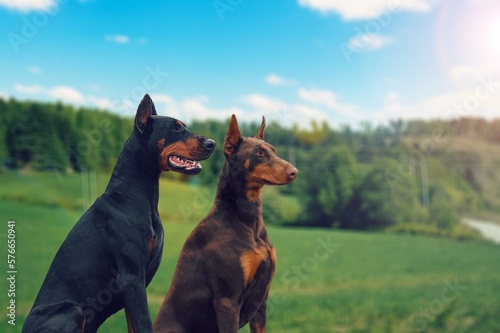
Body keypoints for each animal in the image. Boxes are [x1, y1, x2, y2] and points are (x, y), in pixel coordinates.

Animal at [22, 94, 215, 332]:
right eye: (175, 128)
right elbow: (144, 323)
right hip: (73, 311)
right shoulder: (131, 278)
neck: (140, 197)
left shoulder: (135, 286)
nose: (212, 143)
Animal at [154, 115, 298, 332]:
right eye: (259, 152)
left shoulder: (261, 303)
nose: (294, 172)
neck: (247, 222)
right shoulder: (228, 302)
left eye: (273, 150)